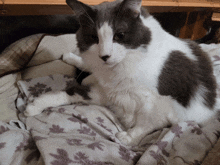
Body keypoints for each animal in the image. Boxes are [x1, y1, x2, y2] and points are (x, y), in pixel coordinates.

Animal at [24, 0, 217, 146]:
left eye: (120, 35)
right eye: (94, 37)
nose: (105, 56)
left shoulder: (156, 102)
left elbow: (147, 122)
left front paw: (129, 137)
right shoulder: (106, 92)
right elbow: (69, 92)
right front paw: (35, 106)